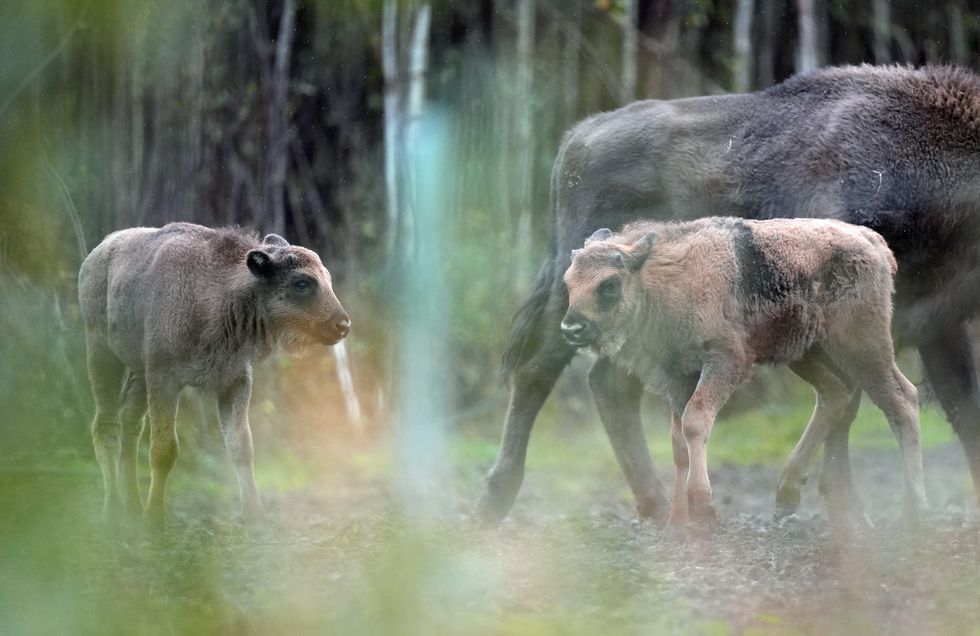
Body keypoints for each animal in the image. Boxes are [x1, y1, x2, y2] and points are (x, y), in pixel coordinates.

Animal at [79, 221, 352, 528]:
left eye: (327, 279)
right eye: (302, 283)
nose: (343, 325)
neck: (220, 295)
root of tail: (97, 253)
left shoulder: (235, 380)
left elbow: (241, 446)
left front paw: (255, 515)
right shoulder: (163, 379)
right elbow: (164, 450)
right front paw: (155, 519)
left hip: (137, 371)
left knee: (130, 422)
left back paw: (133, 507)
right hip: (102, 353)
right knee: (106, 425)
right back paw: (113, 512)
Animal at [560, 219, 928, 528]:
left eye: (610, 284)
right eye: (568, 282)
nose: (571, 328)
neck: (659, 278)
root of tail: (872, 241)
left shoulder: (725, 362)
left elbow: (695, 422)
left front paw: (703, 508)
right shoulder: (679, 378)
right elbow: (678, 442)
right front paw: (676, 524)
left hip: (863, 349)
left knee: (901, 400)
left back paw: (912, 514)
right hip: (806, 353)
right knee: (835, 394)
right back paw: (786, 494)